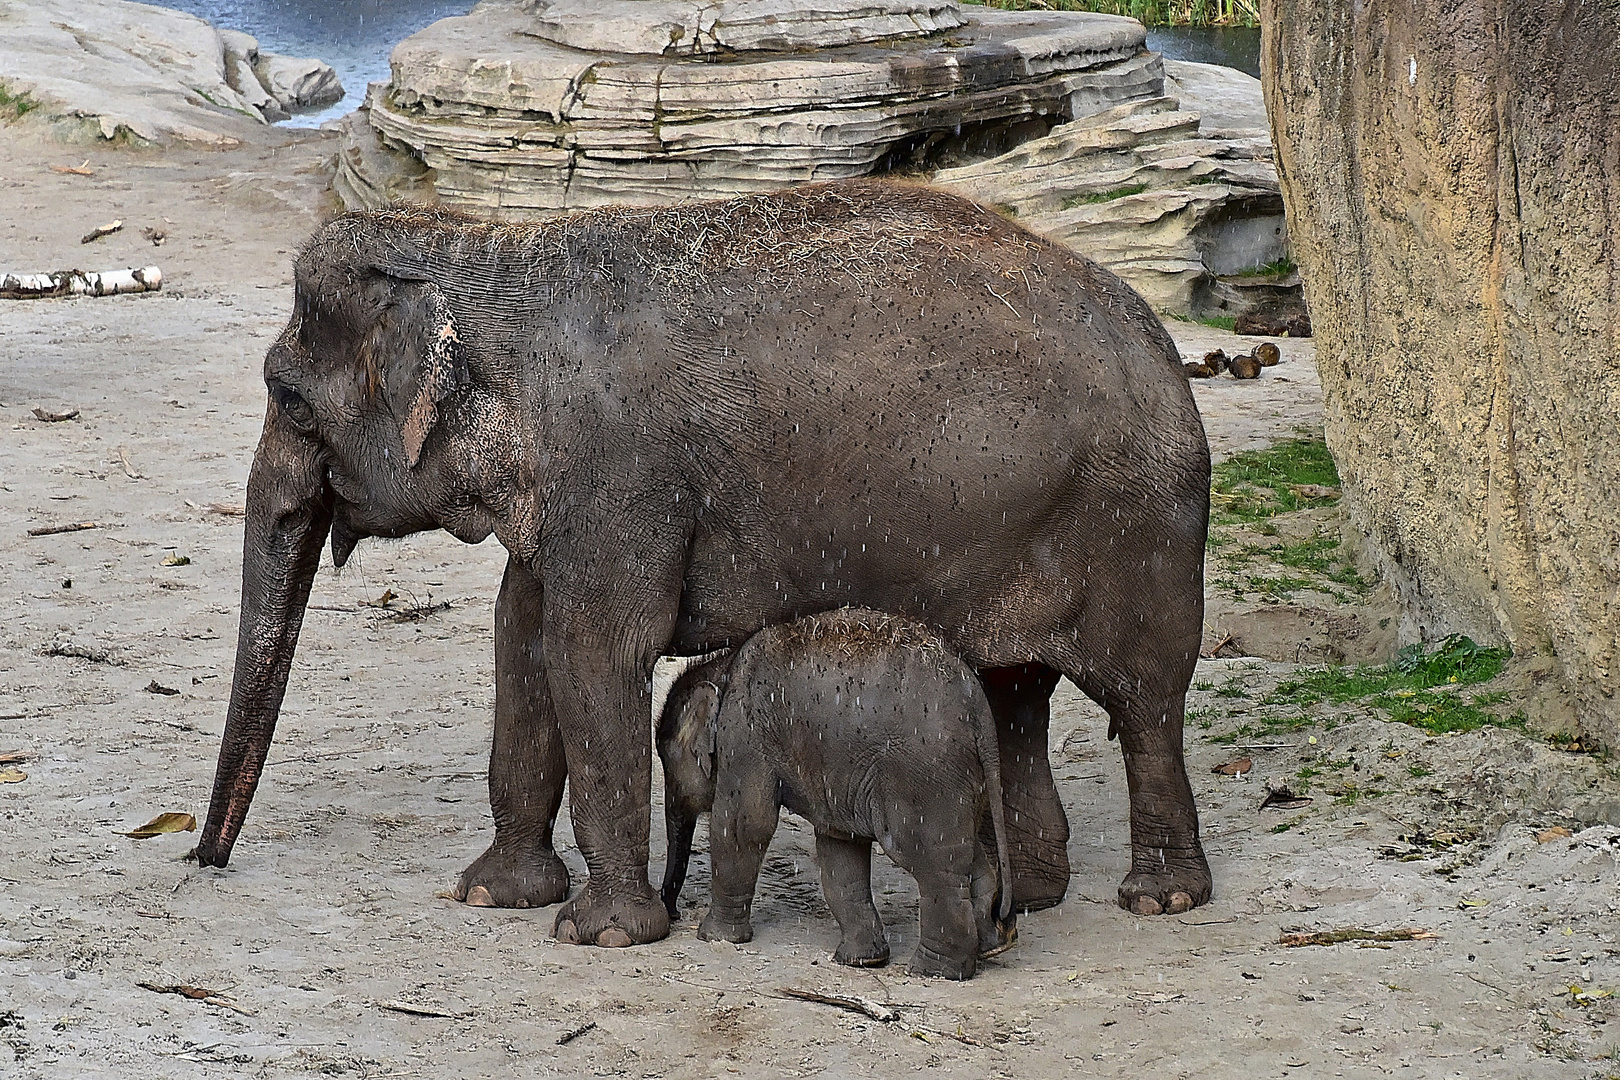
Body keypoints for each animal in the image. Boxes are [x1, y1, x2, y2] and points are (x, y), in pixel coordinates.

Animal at [654, 608, 1010, 977]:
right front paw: (862, 960)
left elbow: (744, 826)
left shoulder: (744, 737)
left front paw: (714, 937)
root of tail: (979, 709)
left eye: (665, 755)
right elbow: (839, 847)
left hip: (924, 775)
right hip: (962, 781)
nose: (673, 913)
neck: (722, 667)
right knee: (965, 856)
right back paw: (991, 946)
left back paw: (932, 971)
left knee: (930, 860)